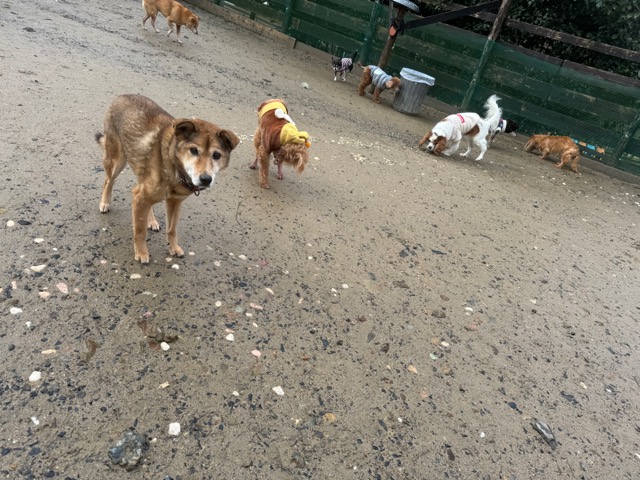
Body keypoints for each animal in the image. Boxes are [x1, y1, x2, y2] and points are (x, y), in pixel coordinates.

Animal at [95, 94, 239, 263]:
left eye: (216, 155)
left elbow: (172, 229)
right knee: (108, 181)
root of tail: (123, 95)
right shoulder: (141, 196)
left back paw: (150, 220)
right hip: (117, 160)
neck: (173, 165)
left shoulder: (175, 202)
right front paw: (141, 252)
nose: (205, 179)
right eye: (193, 150)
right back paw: (105, 203)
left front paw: (173, 247)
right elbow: (140, 231)